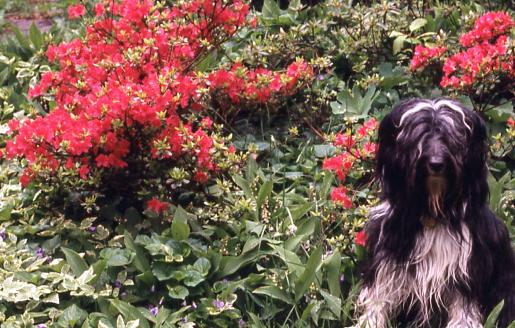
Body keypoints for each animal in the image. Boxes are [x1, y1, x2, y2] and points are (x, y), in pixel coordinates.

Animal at [354, 98, 515, 326]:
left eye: (452, 139)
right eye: (420, 135)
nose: (436, 163)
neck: (433, 212)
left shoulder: (466, 274)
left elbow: (463, 313)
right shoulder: (388, 259)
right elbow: (378, 300)